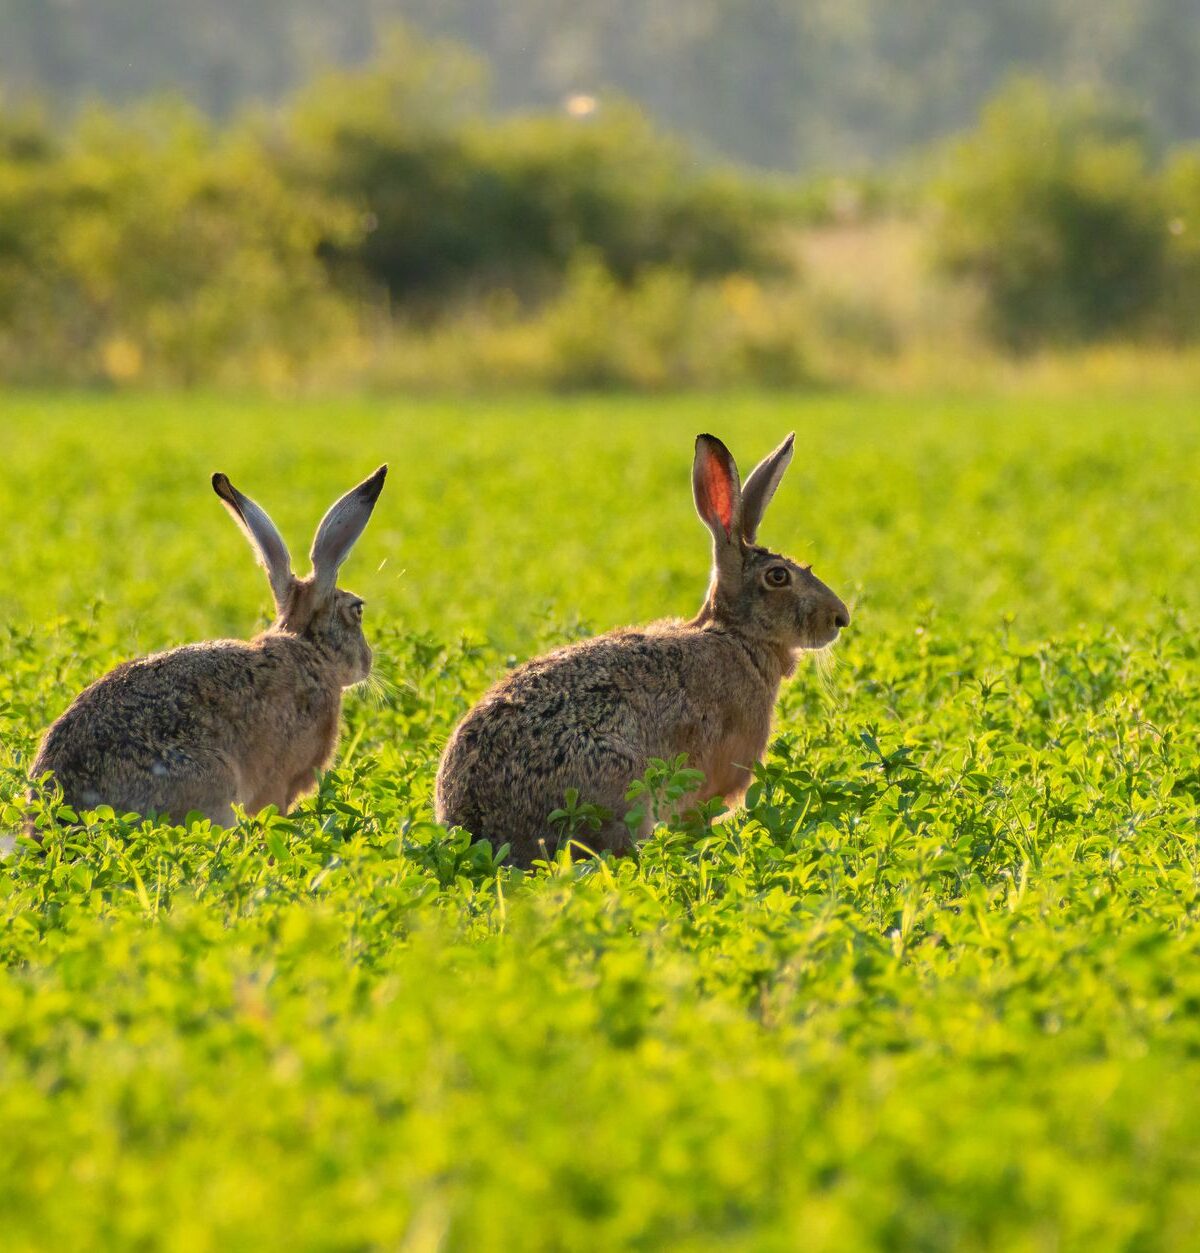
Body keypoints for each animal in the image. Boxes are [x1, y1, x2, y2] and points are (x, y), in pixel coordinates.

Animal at [28, 465, 387, 831]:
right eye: (358, 609)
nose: (368, 662)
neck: (311, 649)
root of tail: (60, 812)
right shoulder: (279, 784)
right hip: (213, 783)